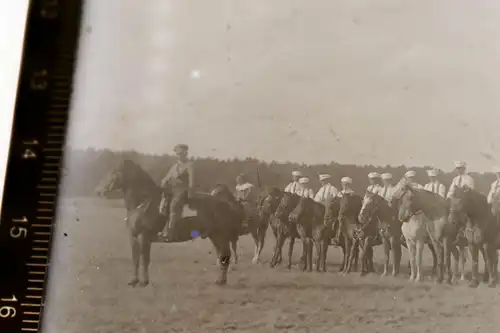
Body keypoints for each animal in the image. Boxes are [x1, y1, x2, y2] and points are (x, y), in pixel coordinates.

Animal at [101, 160, 240, 284]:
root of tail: (226, 204)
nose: (99, 190)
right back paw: (220, 280)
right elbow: (135, 258)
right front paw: (134, 280)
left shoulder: (144, 236)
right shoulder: (133, 236)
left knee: (225, 256)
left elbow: (145, 259)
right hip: (214, 236)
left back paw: (221, 281)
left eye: (114, 171)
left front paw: (144, 282)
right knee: (222, 256)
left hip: (220, 236)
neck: (143, 203)